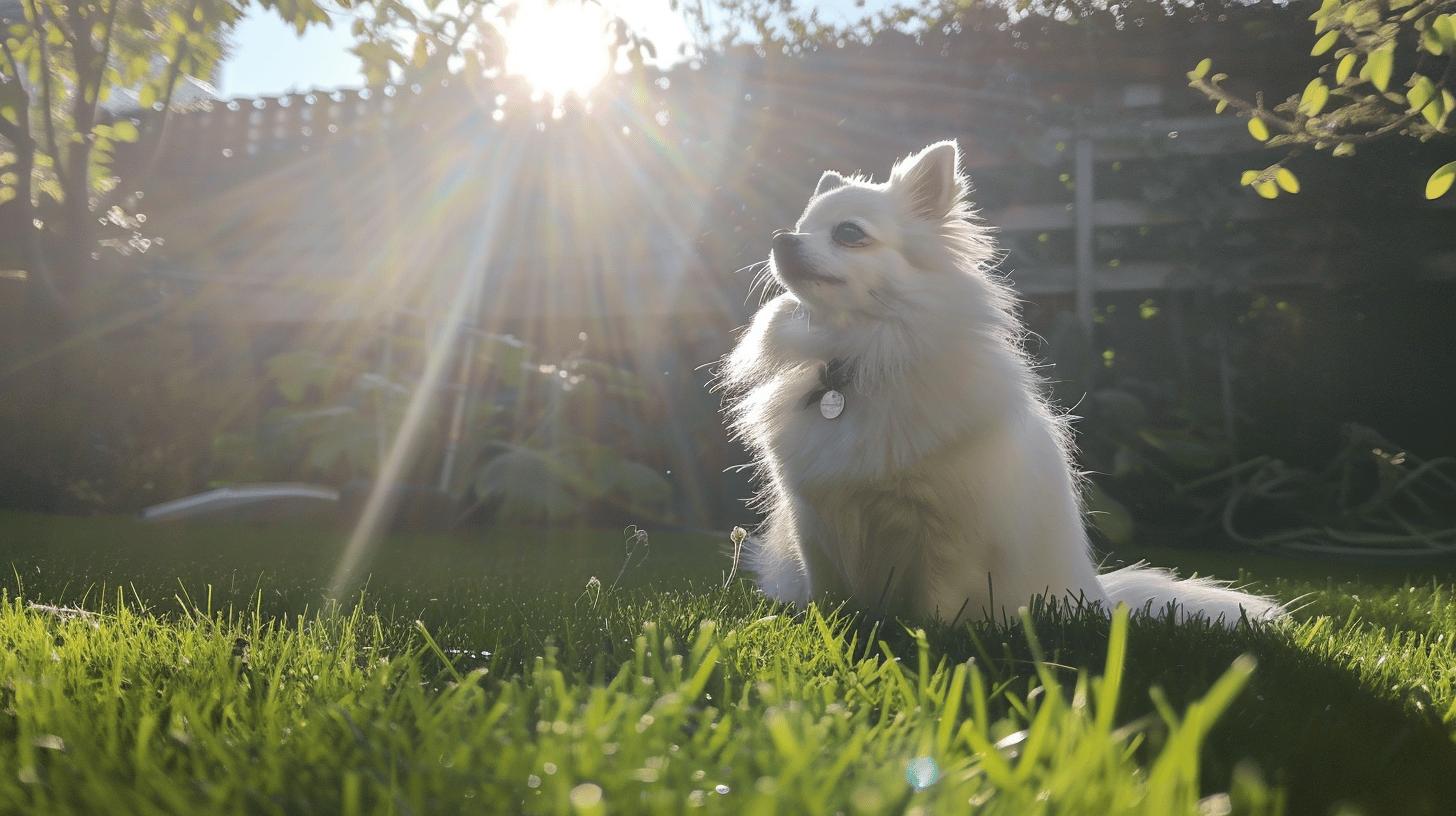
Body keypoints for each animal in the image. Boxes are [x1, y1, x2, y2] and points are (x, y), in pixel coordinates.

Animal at [722, 139, 1281, 623]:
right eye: (800, 227)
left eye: (848, 233)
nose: (781, 240)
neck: (860, 357)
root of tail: (1099, 596)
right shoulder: (814, 521)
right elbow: (828, 594)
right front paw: (823, 625)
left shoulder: (944, 530)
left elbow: (936, 600)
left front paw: (928, 640)